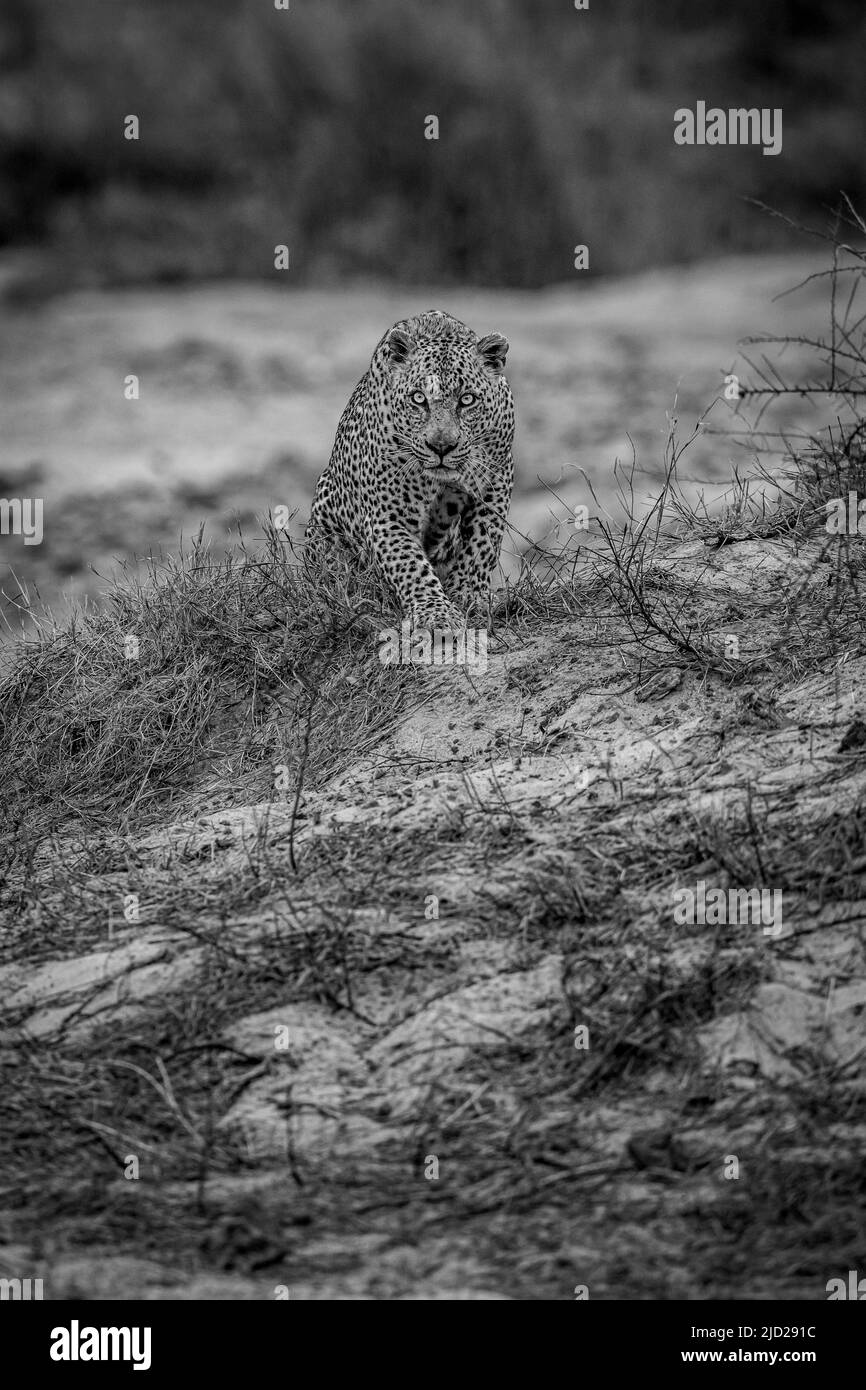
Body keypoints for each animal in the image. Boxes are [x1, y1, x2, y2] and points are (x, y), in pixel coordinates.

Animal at [304, 309, 514, 631]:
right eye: (418, 398)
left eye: (467, 399)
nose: (441, 446)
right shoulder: (388, 514)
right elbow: (409, 564)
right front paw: (435, 612)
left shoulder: (496, 480)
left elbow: (483, 541)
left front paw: (468, 593)